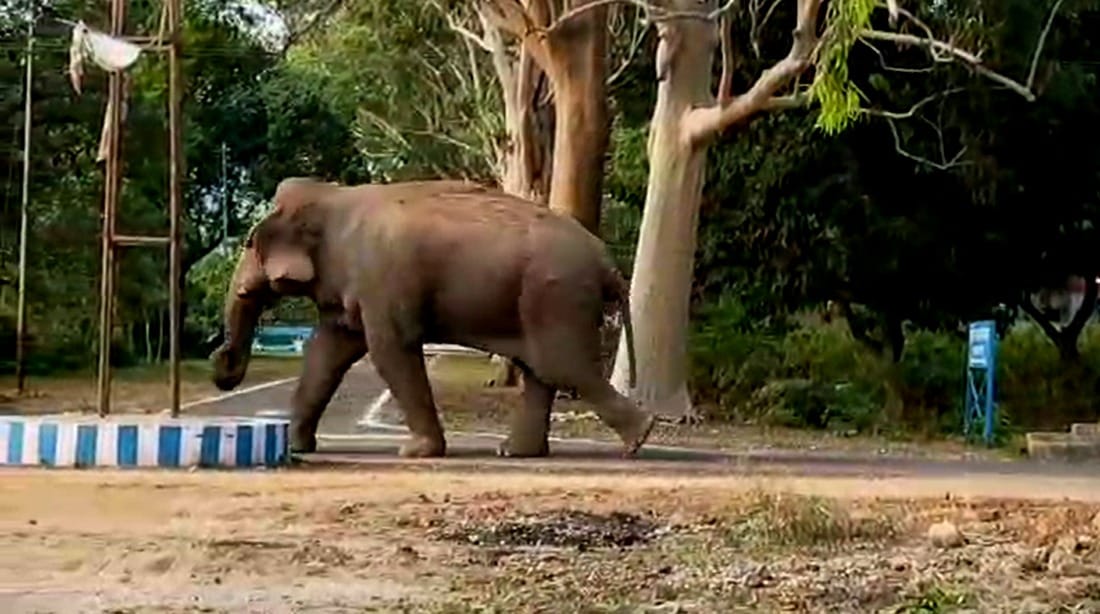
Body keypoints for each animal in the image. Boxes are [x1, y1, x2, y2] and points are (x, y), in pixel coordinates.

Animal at [209, 177, 657, 459]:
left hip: (555, 294)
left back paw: (639, 438)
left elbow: (390, 350)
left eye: (248, 243)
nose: (221, 364)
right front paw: (294, 446)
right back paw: (515, 452)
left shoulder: (382, 279)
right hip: (542, 298)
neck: (334, 195)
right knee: (542, 371)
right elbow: (327, 353)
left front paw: (415, 453)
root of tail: (605, 260)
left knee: (562, 367)